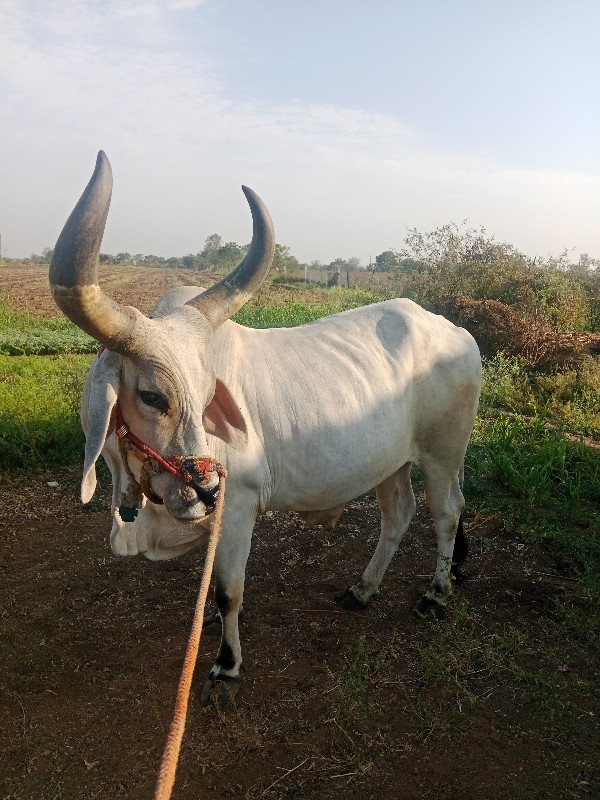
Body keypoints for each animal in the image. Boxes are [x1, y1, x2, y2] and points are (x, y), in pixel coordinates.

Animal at [50, 153, 482, 704]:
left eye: (206, 395)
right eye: (152, 396)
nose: (206, 490)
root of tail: (456, 331)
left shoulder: (237, 509)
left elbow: (227, 590)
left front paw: (227, 663)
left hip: (443, 455)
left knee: (446, 514)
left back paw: (436, 594)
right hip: (392, 462)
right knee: (398, 515)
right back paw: (364, 589)